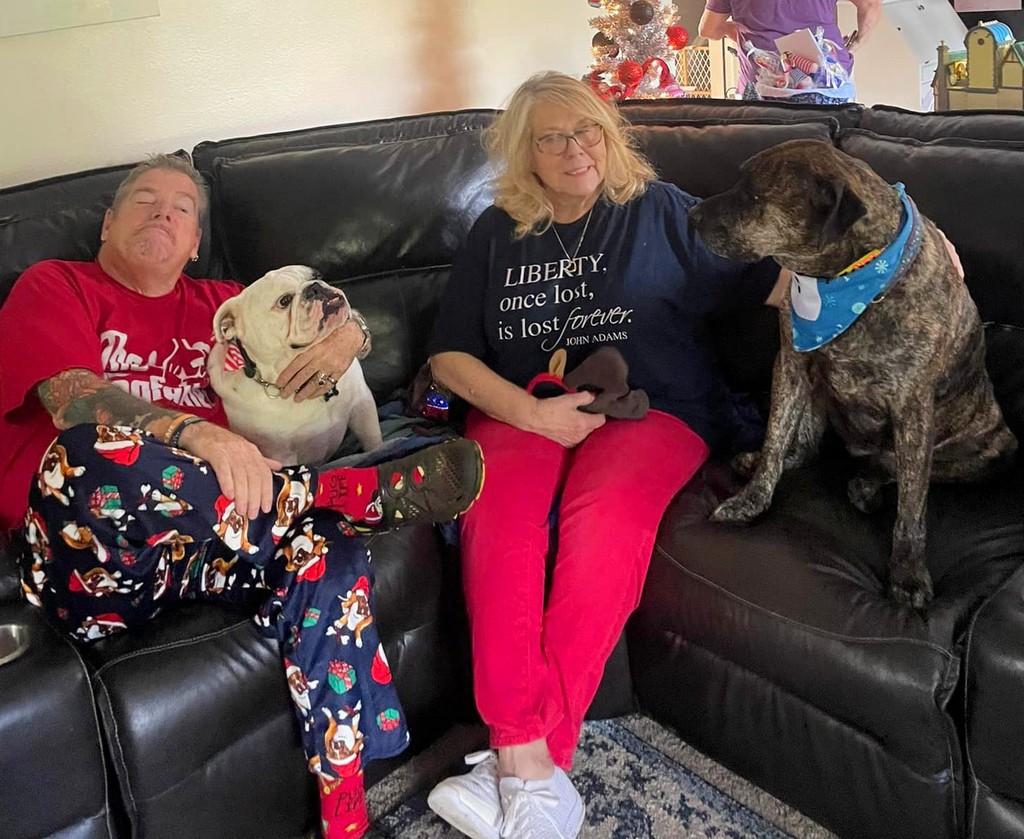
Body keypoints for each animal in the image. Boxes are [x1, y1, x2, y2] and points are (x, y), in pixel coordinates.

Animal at [208, 265, 382, 466]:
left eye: (318, 276)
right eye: (284, 301)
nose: (315, 287)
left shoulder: (363, 408)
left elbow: (374, 443)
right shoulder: (281, 455)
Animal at [689, 139, 1017, 608]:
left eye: (752, 196)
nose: (692, 216)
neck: (845, 282)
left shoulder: (913, 407)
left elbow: (912, 505)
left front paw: (908, 574)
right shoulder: (790, 364)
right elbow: (775, 441)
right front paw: (751, 499)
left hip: (987, 452)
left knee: (895, 467)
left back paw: (867, 485)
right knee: (807, 449)